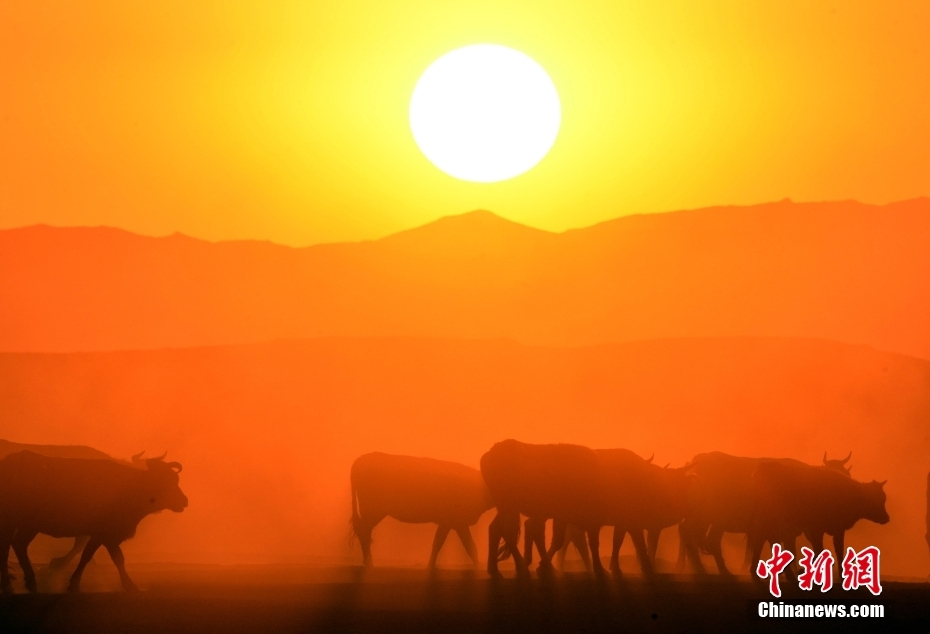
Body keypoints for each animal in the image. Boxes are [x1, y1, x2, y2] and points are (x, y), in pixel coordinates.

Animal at [0, 446, 187, 592]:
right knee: (9, 545)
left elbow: (103, 556)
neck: (130, 487)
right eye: (165, 481)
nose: (184, 501)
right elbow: (99, 556)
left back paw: (28, 581)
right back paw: (12, 582)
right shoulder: (104, 534)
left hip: (28, 526)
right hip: (16, 522)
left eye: (176, 479)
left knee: (17, 544)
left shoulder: (104, 535)